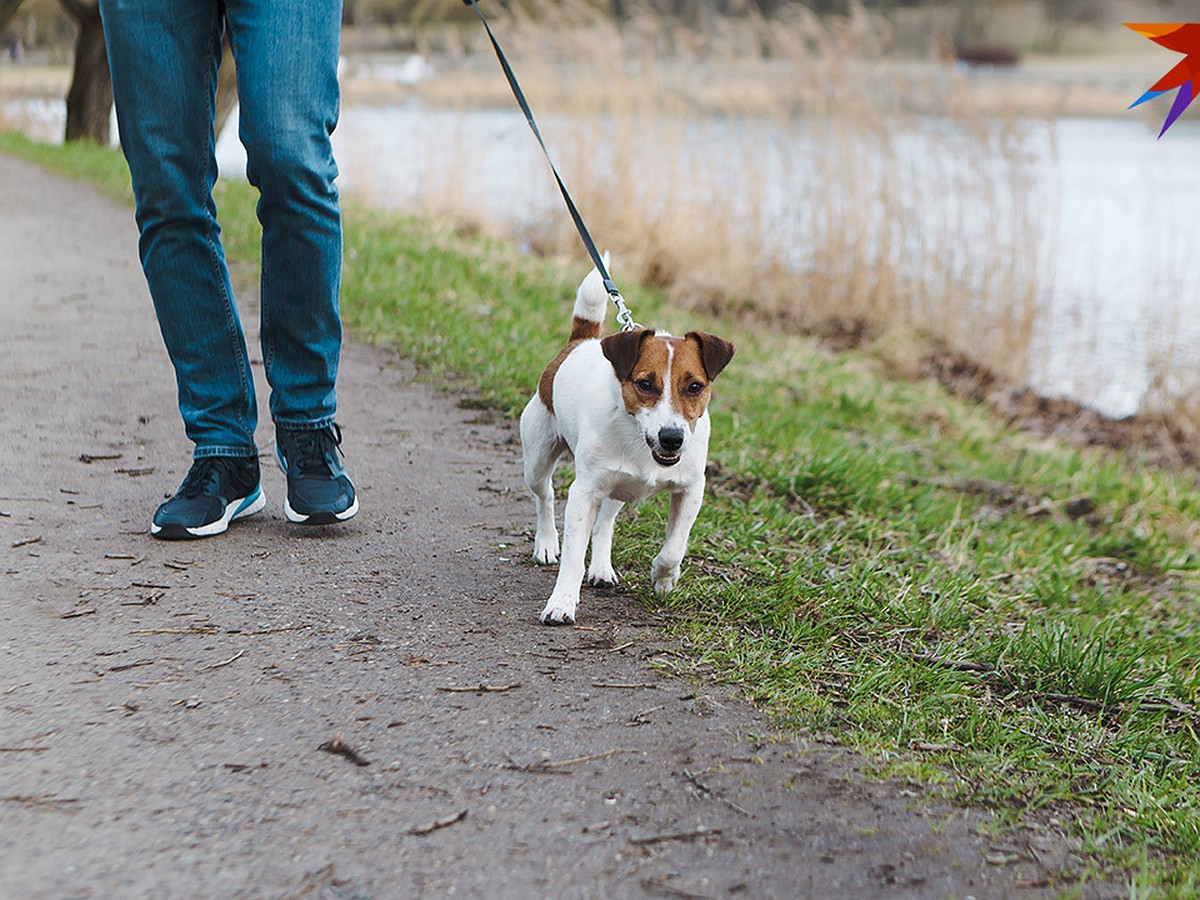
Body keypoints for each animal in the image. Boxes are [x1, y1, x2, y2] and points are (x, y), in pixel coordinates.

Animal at [520, 264, 734, 624]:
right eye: (645, 384)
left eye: (695, 386)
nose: (672, 438)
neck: (639, 440)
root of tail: (582, 341)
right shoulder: (584, 492)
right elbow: (573, 557)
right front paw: (561, 603)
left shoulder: (691, 490)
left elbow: (675, 547)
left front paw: (663, 577)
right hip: (537, 458)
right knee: (544, 494)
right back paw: (547, 543)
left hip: (619, 487)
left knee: (605, 522)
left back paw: (602, 568)